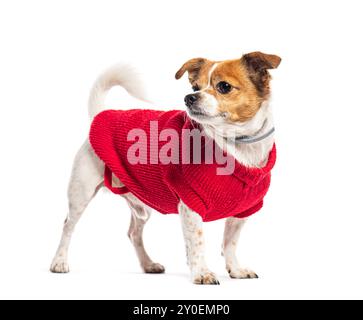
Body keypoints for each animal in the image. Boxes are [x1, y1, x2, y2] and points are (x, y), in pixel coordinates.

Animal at [49, 52, 282, 284]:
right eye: (195, 87)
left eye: (224, 86)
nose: (189, 97)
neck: (237, 147)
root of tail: (100, 116)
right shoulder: (191, 205)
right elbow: (197, 243)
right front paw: (202, 272)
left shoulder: (242, 213)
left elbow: (230, 243)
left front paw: (235, 269)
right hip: (81, 191)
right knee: (68, 225)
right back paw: (59, 262)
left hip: (142, 203)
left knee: (134, 233)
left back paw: (148, 264)